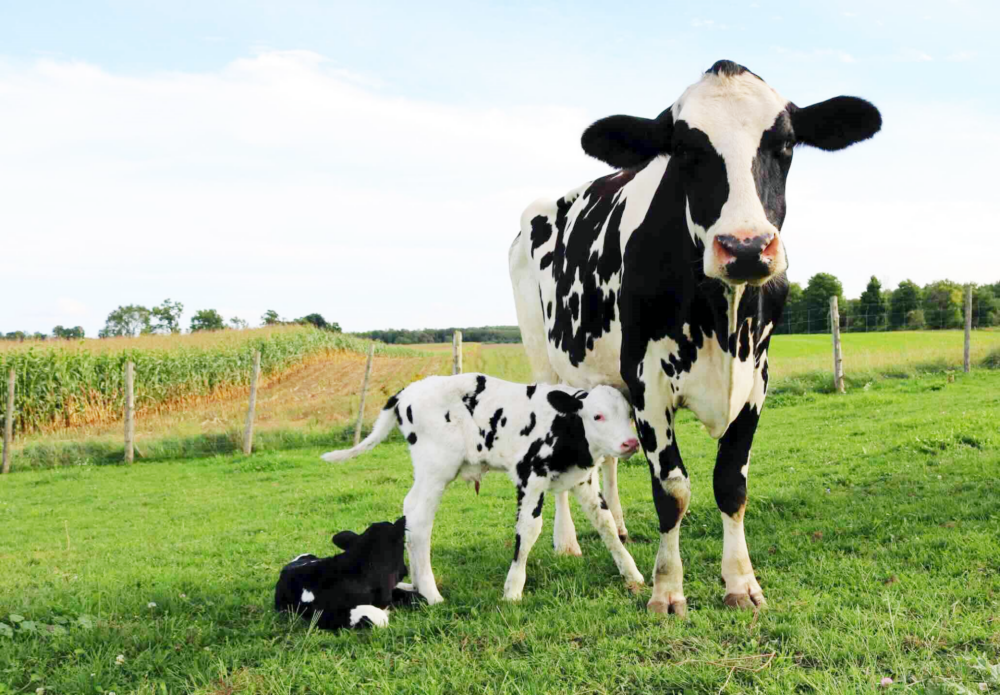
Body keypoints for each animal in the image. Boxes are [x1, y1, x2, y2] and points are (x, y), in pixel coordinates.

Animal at [321, 373, 645, 604]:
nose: (631, 443)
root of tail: (407, 391)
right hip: (435, 468)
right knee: (418, 517)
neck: (565, 428)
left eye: (628, 413)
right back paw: (431, 593)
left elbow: (606, 525)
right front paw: (513, 590)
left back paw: (416, 585)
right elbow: (528, 529)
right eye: (597, 415)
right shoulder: (529, 476)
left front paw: (632, 574)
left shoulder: (583, 479)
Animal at [508, 59, 881, 616]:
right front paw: (666, 589)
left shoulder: (756, 379)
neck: (720, 318)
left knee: (610, 459)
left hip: (605, 380)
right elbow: (673, 490)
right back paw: (566, 541)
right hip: (545, 360)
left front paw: (741, 583)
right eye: (685, 149)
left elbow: (731, 484)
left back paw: (618, 523)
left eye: (786, 144)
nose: (745, 247)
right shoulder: (647, 381)